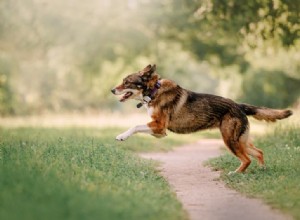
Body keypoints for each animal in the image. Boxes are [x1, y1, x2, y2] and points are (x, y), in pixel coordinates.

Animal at [111, 63, 292, 174]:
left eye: (126, 82)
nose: (112, 90)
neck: (154, 91)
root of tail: (239, 106)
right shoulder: (159, 131)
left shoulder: (159, 126)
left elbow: (135, 126)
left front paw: (121, 136)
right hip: (241, 140)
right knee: (259, 152)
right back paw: (262, 170)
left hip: (230, 140)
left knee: (247, 160)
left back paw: (235, 174)